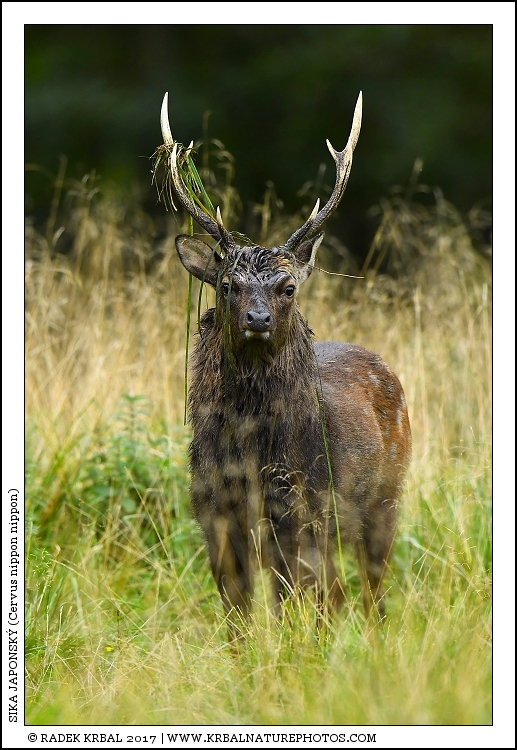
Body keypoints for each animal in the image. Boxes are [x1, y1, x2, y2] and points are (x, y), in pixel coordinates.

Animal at [159, 91, 411, 639]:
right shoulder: (213, 513)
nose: (257, 319)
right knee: (339, 594)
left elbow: (292, 605)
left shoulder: (300, 511)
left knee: (370, 591)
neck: (251, 461)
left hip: (385, 496)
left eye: (288, 286)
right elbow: (237, 613)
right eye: (227, 284)